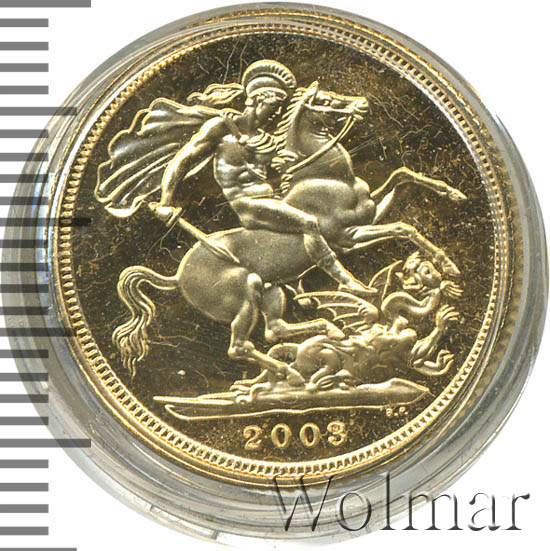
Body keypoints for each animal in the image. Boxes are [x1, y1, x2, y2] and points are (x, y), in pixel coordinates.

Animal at [114, 82, 467, 385]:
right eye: (325, 98)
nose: (362, 104)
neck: (323, 175)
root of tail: (176, 276)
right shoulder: (347, 237)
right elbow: (400, 228)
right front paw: (364, 287)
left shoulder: (370, 213)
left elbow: (401, 177)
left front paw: (452, 197)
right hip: (246, 291)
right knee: (240, 346)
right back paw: (293, 371)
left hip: (271, 291)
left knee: (274, 330)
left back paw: (322, 337)